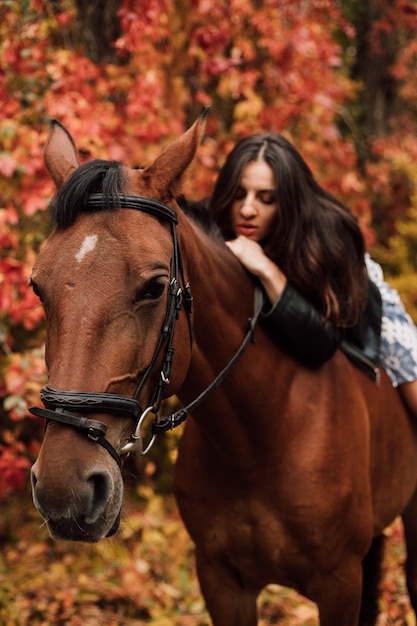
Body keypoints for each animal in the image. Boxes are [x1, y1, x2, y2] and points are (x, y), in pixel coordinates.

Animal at [29, 109, 417, 620]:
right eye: (38, 287)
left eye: (155, 287)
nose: (63, 487)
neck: (263, 433)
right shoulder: (221, 583)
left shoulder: (339, 584)